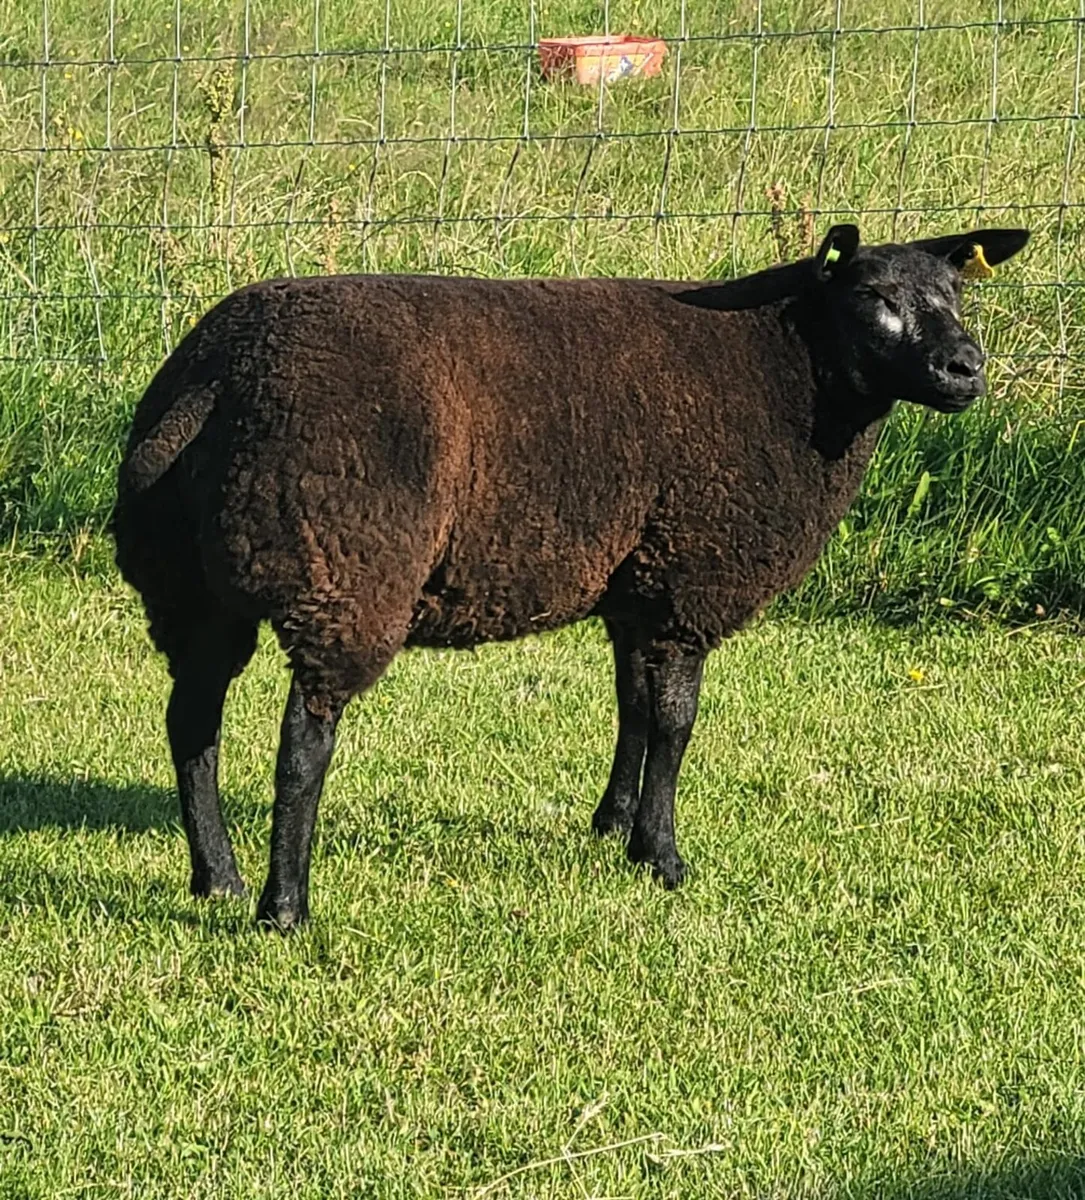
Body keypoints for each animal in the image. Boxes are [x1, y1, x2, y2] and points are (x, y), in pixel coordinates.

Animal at [112, 223, 1030, 929]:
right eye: (872, 296)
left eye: (958, 294)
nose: (965, 369)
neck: (791, 369)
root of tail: (214, 377)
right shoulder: (689, 578)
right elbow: (676, 724)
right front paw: (662, 856)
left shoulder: (638, 581)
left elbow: (632, 708)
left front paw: (611, 826)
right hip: (343, 571)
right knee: (303, 746)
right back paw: (284, 907)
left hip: (192, 585)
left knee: (191, 723)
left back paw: (217, 877)